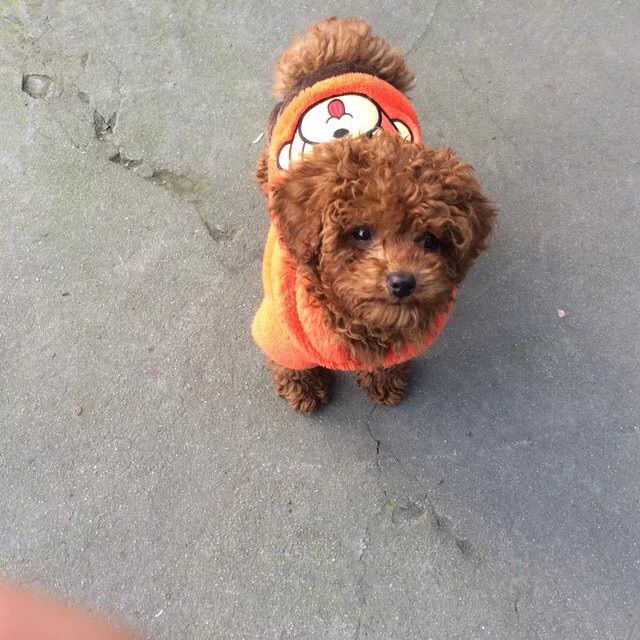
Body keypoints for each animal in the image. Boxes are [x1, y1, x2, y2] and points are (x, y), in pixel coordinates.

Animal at [252, 17, 496, 412]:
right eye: (362, 233)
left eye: (430, 240)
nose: (403, 282)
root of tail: (341, 53)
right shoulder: (279, 328)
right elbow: (288, 359)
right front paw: (303, 386)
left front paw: (385, 379)